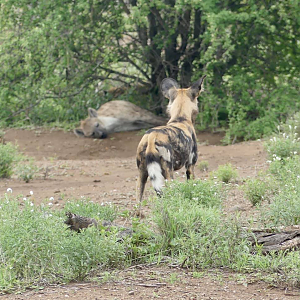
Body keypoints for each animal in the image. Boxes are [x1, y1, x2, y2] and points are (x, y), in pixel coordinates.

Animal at [136, 75, 206, 203]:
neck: (180, 118)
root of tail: (152, 136)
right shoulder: (190, 166)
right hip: (169, 174)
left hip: (142, 175)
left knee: (137, 202)